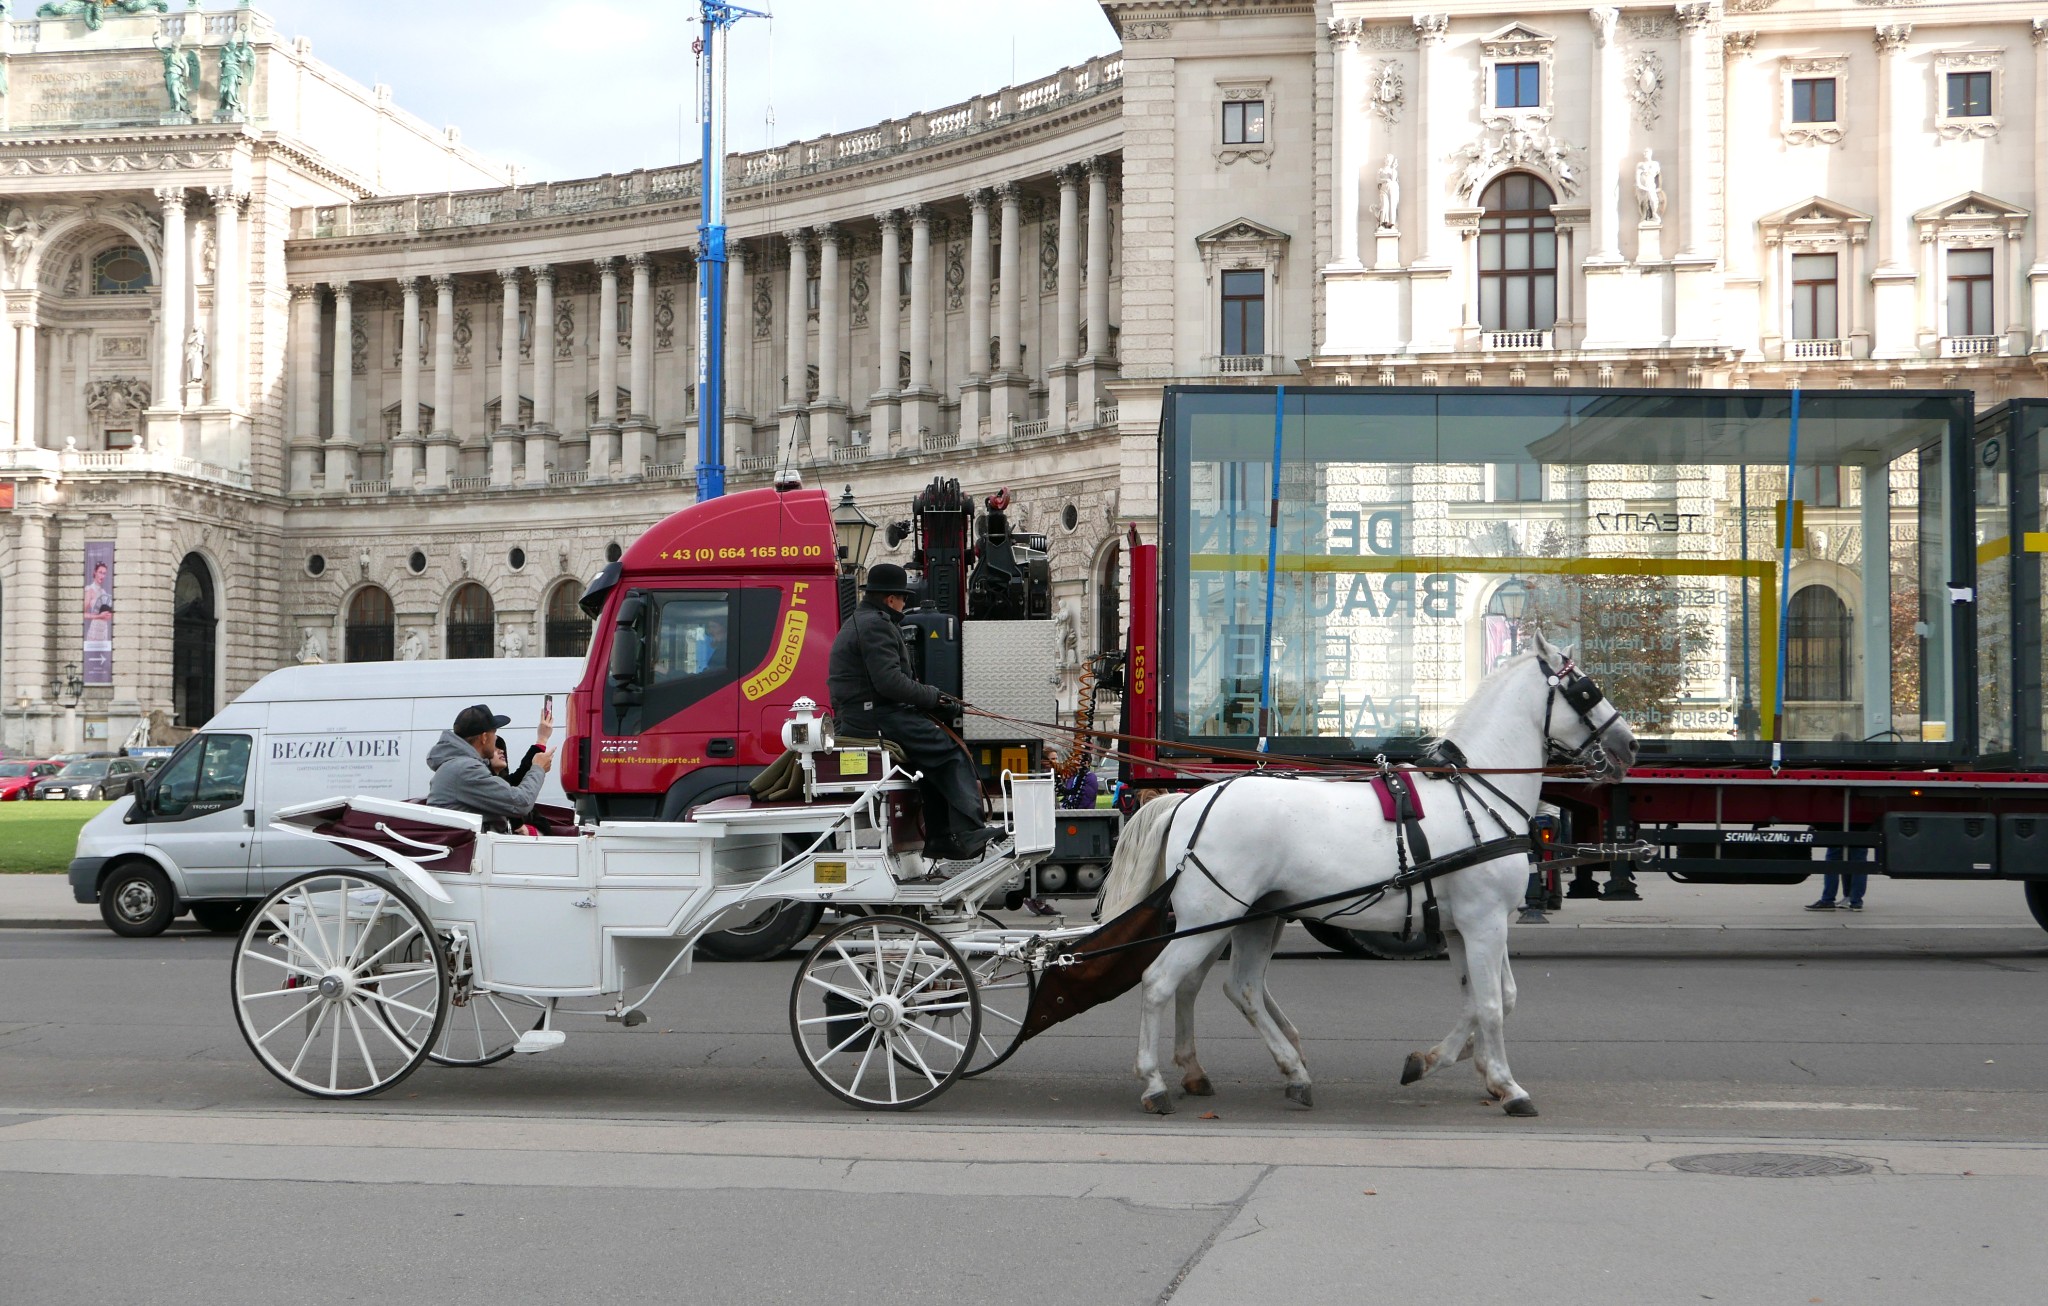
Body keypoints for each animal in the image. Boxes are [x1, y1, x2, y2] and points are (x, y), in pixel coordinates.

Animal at [1097, 638, 1638, 1121]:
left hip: (1251, 917)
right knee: (1162, 982)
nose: (1629, 744)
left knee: (1236, 987)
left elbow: (1490, 999)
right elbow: (1489, 1004)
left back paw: (1275, 1072)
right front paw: (1508, 1085)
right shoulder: (1484, 922)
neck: (1478, 794)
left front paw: (1447, 1062)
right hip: (1210, 917)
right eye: (1585, 690)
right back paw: (1154, 1083)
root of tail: (1191, 801)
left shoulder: (1463, 927)